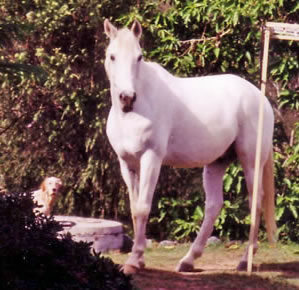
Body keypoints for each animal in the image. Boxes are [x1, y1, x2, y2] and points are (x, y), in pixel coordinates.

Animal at [104, 18, 278, 274]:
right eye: (112, 56)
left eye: (139, 57)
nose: (127, 98)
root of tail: (261, 98)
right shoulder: (126, 163)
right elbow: (135, 210)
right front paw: (139, 259)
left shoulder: (151, 158)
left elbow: (143, 207)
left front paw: (134, 261)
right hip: (217, 162)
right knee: (214, 205)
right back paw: (188, 260)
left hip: (250, 161)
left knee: (255, 202)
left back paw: (244, 261)